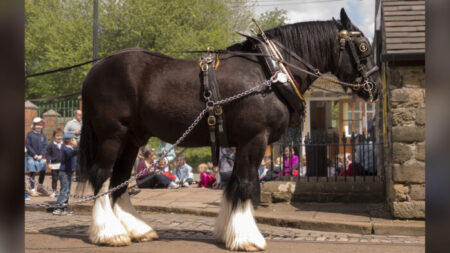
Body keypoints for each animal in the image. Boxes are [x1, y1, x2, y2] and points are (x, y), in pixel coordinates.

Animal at [78, 8, 380, 250]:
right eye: (363, 47)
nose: (375, 87)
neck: (270, 72)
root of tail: (94, 70)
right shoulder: (255, 139)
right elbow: (245, 185)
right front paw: (247, 238)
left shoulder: (242, 143)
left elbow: (234, 185)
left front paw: (229, 231)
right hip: (112, 135)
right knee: (101, 175)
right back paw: (109, 233)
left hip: (132, 139)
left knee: (118, 180)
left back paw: (135, 229)